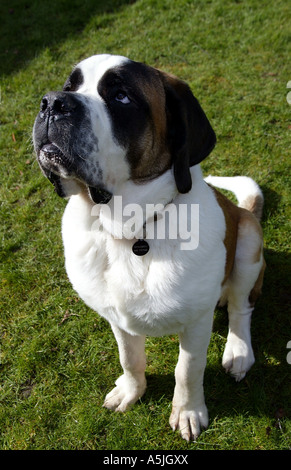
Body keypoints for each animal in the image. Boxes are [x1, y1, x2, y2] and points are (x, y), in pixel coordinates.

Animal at [32, 54, 266, 440]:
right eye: (70, 86)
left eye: (122, 97)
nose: (52, 103)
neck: (129, 228)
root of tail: (242, 210)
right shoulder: (116, 316)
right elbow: (130, 357)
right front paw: (131, 390)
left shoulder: (196, 321)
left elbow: (187, 369)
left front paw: (187, 412)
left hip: (248, 238)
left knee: (240, 307)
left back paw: (238, 351)